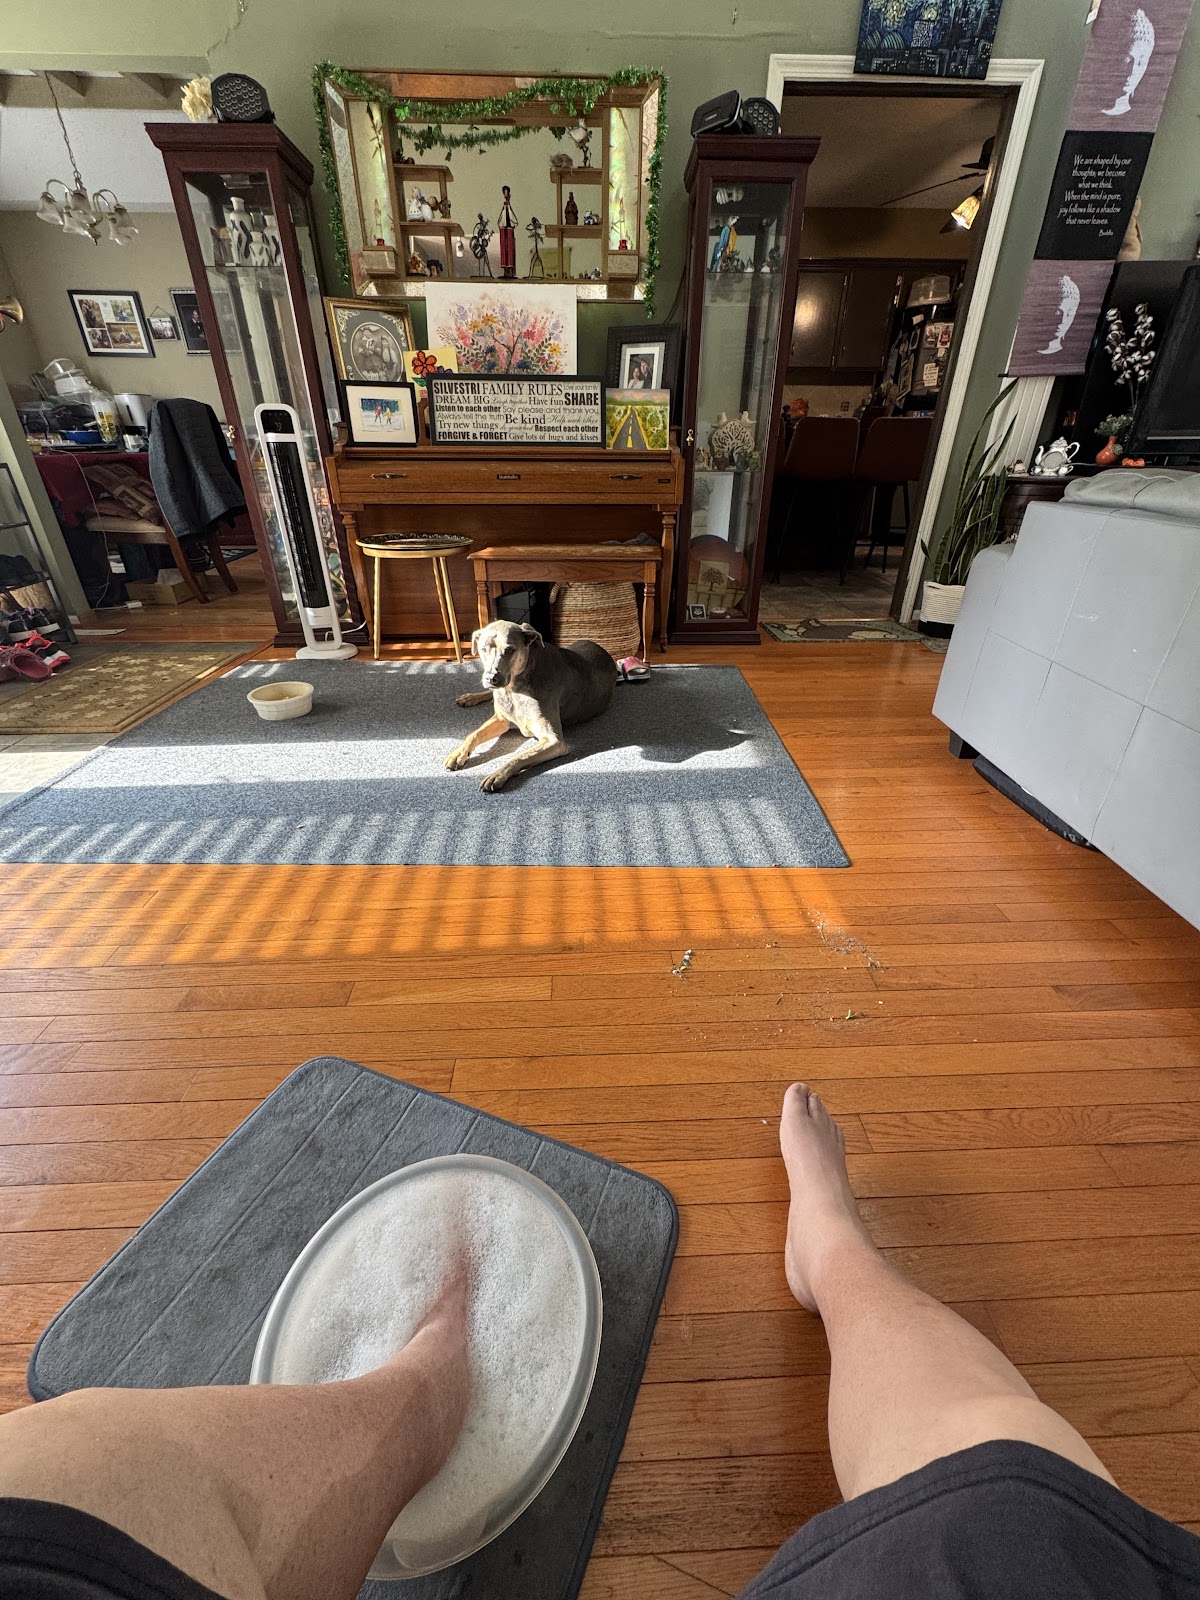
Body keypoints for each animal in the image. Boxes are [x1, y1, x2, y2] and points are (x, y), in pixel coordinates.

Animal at [445, 620, 616, 792]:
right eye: (483, 649)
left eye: (510, 650)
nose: (491, 678)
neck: (514, 689)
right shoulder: (501, 719)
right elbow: (473, 734)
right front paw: (458, 754)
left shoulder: (554, 741)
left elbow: (518, 757)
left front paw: (497, 775)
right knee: (489, 695)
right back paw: (470, 697)